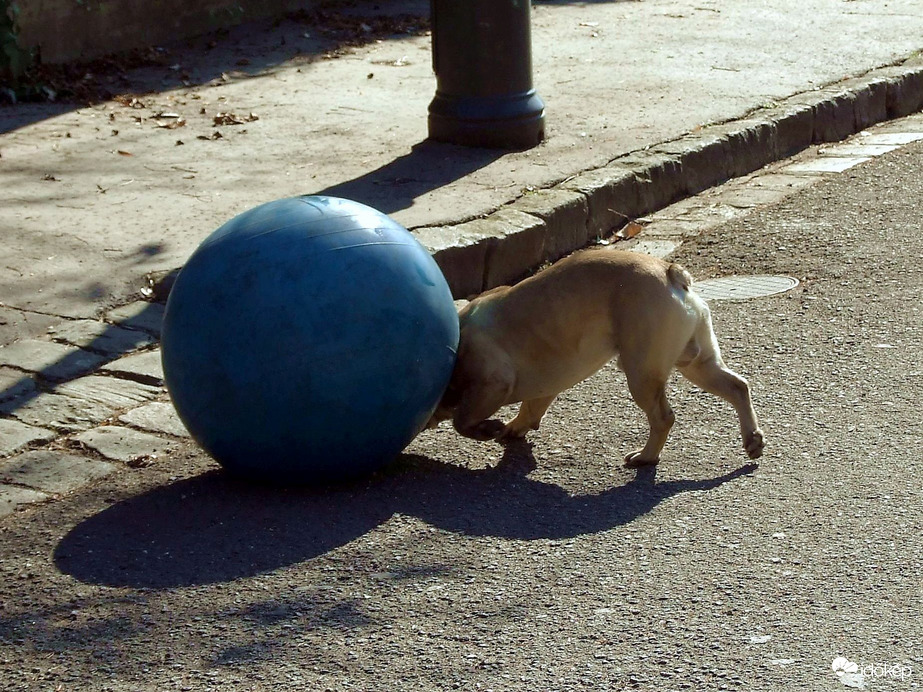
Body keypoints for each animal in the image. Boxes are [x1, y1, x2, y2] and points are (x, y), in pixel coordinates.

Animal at [430, 246, 768, 468]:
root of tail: (670, 272)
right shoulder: (543, 387)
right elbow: (530, 409)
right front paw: (514, 428)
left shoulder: (490, 383)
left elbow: (462, 420)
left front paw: (489, 429)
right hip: (698, 363)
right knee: (737, 386)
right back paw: (752, 439)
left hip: (642, 375)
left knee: (662, 417)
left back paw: (646, 457)